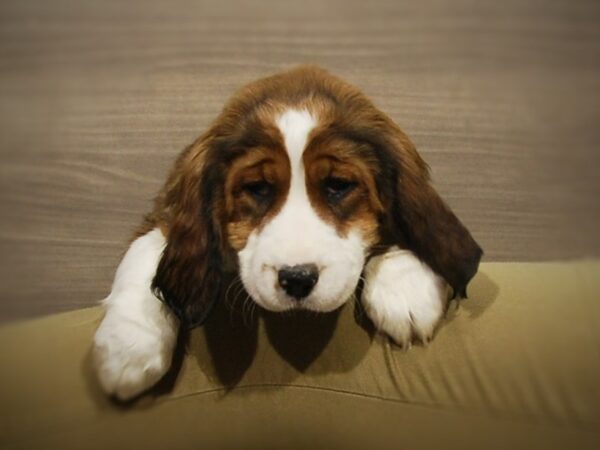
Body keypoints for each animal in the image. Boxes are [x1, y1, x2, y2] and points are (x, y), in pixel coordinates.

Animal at [91, 64, 480, 400]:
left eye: (338, 186)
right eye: (258, 188)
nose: (297, 279)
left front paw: (405, 290)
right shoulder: (166, 210)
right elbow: (147, 248)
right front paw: (129, 345)